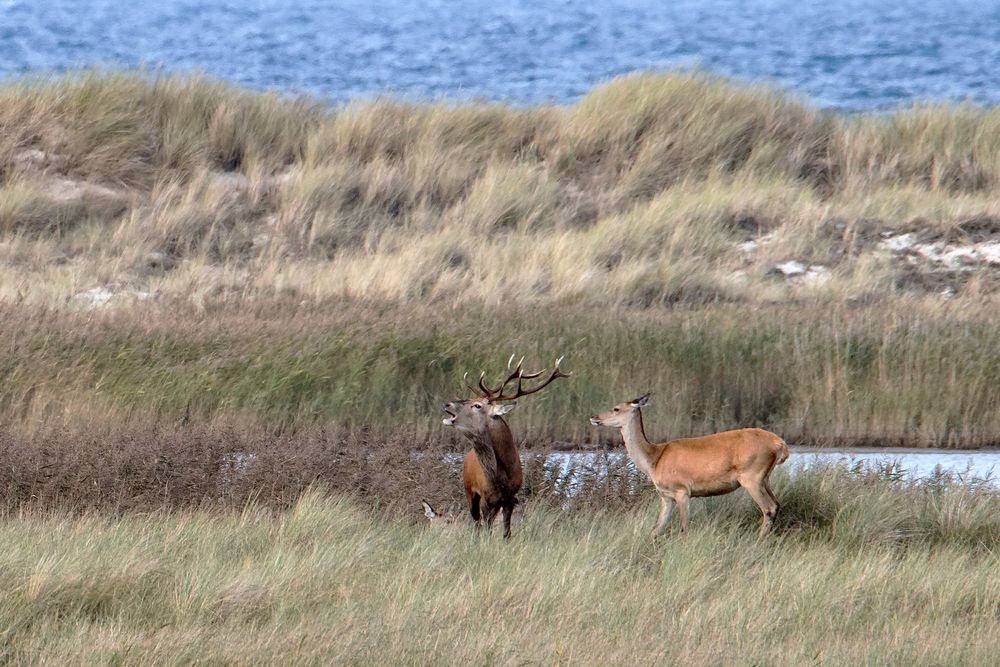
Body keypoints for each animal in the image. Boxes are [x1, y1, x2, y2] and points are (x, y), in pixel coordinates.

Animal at [440, 358, 568, 540]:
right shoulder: (486, 496)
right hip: (469, 490)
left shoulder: (509, 498)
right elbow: (486, 529)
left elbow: (507, 532)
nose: (447, 403)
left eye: (477, 405)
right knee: (476, 523)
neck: (501, 477)